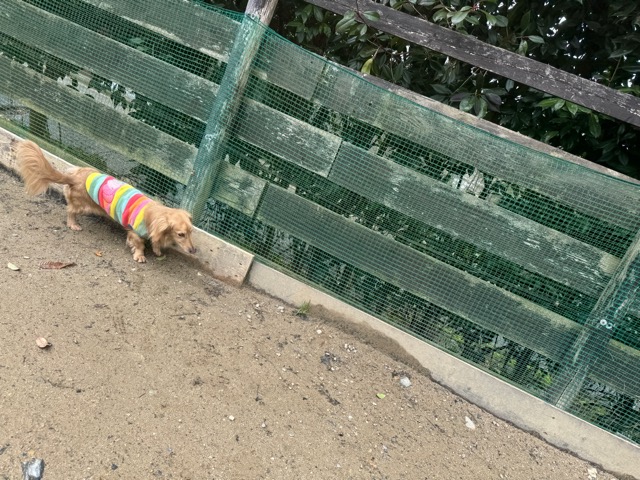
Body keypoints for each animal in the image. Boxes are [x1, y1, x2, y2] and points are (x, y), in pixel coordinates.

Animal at [15, 140, 196, 263]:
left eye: (190, 232)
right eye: (180, 234)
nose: (193, 250)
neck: (154, 213)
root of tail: (74, 177)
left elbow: (155, 241)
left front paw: (157, 250)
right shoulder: (135, 232)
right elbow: (139, 244)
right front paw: (140, 255)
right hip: (82, 206)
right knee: (70, 210)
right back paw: (73, 223)